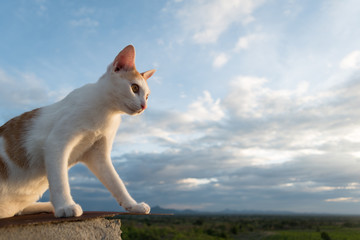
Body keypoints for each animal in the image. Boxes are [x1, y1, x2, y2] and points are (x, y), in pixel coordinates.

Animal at [0, 44, 155, 218]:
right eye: (134, 88)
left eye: (147, 96)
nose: (144, 106)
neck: (107, 112)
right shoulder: (57, 143)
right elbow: (60, 180)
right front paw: (65, 206)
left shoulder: (98, 156)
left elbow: (117, 183)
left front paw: (133, 205)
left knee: (18, 210)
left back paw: (47, 206)